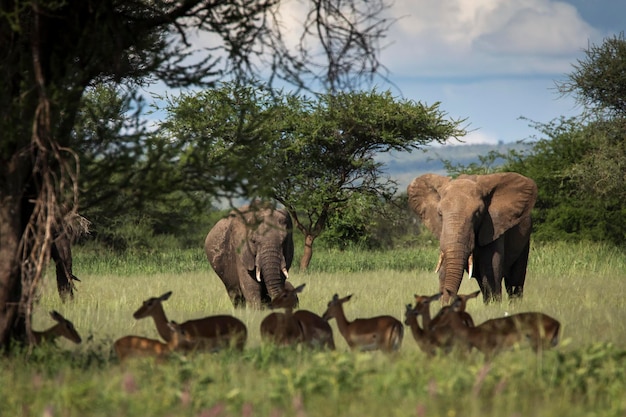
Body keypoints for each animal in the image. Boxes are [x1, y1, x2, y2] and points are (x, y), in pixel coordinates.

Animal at [404, 171, 536, 304]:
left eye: (477, 214)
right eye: (440, 214)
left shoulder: (493, 227)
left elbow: (491, 271)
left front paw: (494, 306)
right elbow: (445, 269)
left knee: (515, 280)